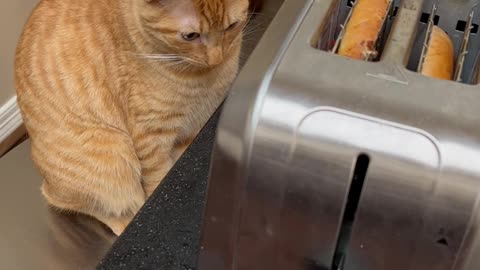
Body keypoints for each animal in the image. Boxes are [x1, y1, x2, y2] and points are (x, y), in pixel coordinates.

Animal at [14, 0, 248, 235]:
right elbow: (159, 181)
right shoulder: (151, 137)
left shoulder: (195, 128)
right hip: (112, 154)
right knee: (78, 201)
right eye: (190, 36)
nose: (216, 58)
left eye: (232, 26)